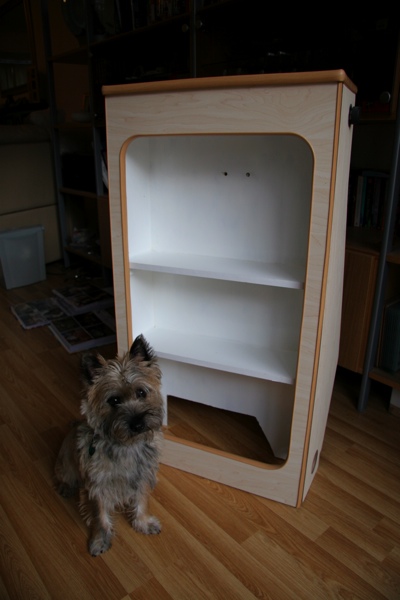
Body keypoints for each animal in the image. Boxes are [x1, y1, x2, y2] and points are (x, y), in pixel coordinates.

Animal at [54, 336, 163, 556]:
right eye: (114, 400)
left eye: (141, 392)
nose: (138, 424)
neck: (126, 445)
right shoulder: (97, 487)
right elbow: (100, 516)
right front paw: (100, 540)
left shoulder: (141, 477)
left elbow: (141, 501)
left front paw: (143, 523)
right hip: (65, 464)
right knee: (63, 474)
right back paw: (65, 487)